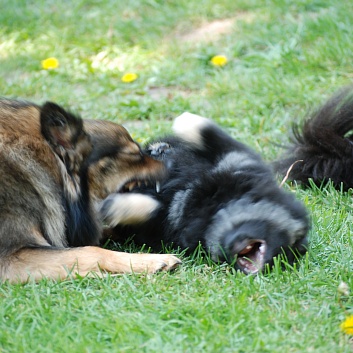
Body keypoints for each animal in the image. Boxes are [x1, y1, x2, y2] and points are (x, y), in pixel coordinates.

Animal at [101, 112, 308, 272]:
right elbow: (213, 135)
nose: (254, 269)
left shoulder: (170, 222)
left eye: (283, 257)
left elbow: (153, 209)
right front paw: (185, 121)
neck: (220, 206)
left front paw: (114, 207)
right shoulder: (240, 159)